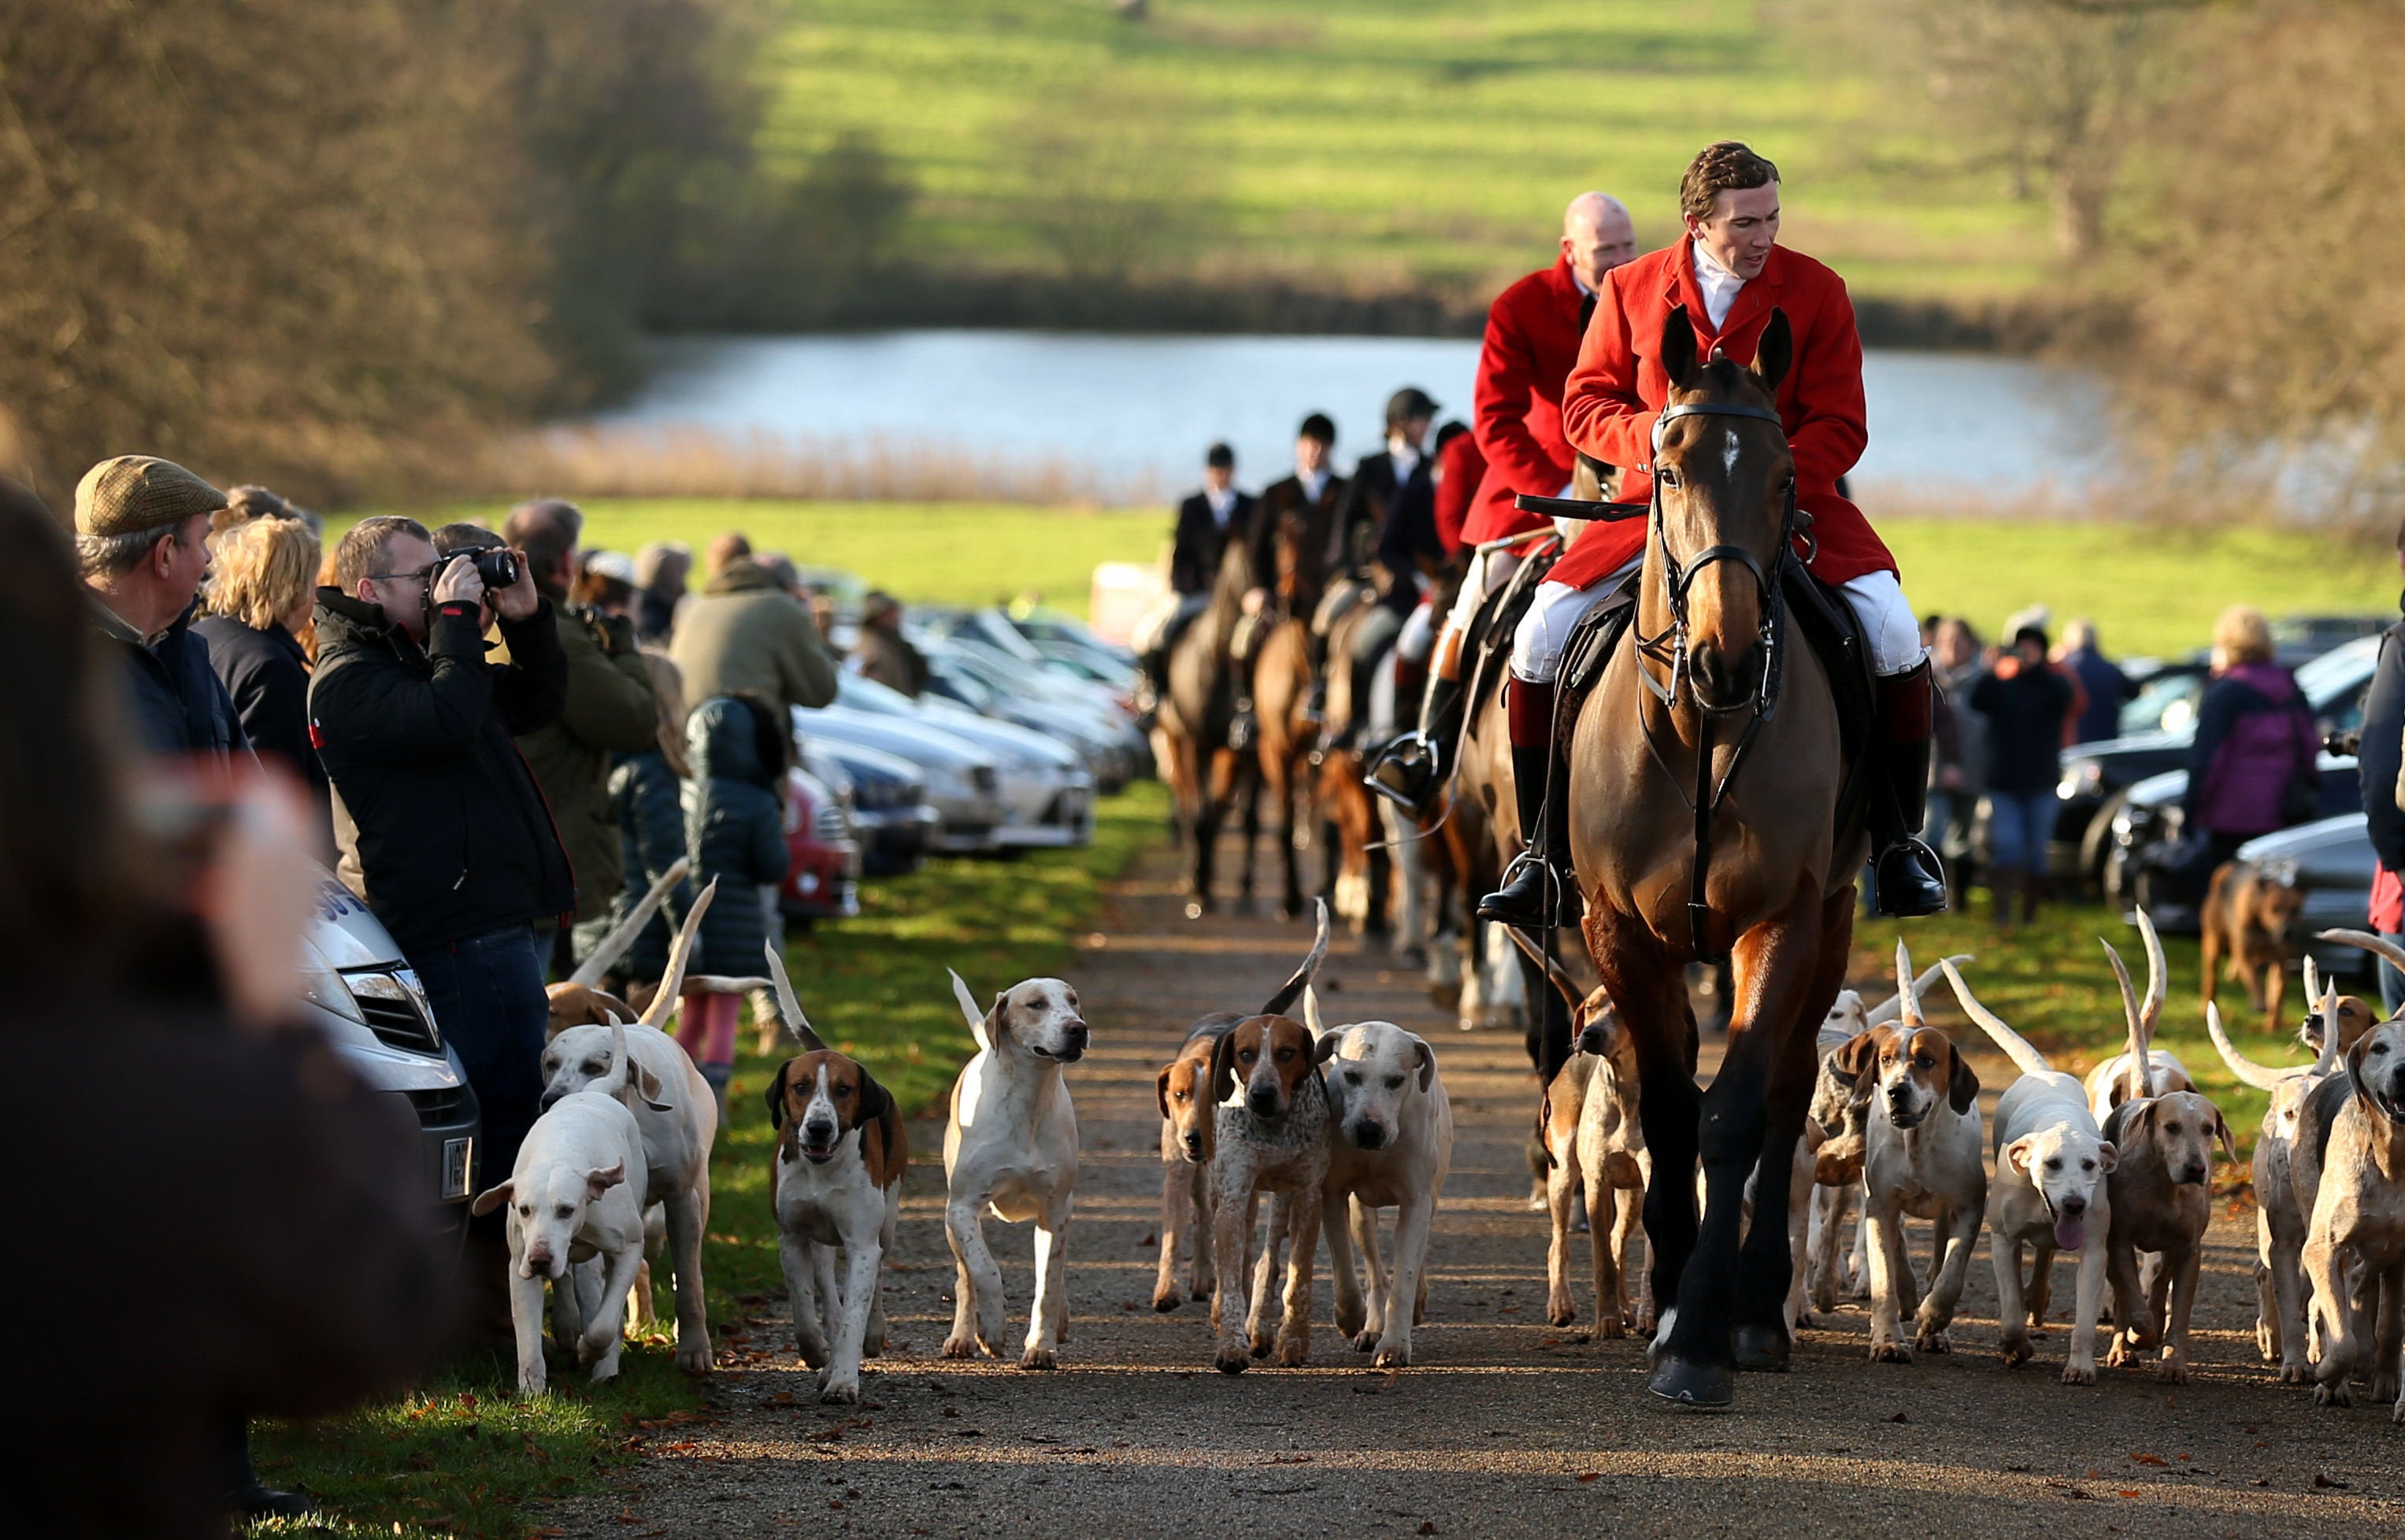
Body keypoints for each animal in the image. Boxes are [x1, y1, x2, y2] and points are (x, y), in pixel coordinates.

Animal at [1548, 310, 1866, 1405]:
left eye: (1784, 475)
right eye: (1669, 467)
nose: (1726, 658)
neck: (1701, 729)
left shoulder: (1782, 920)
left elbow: (1731, 1116)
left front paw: (1701, 1338)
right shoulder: (1617, 931)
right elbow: (1670, 1110)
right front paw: (1671, 1305)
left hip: (1834, 926)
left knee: (1785, 1089)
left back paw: (1758, 1310)